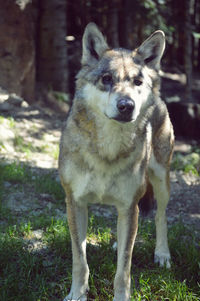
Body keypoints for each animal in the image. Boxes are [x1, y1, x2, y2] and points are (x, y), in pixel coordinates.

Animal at [58, 22, 174, 298]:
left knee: (160, 216)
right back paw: (115, 244)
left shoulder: (128, 205)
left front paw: (122, 297)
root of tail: (161, 99)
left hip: (161, 181)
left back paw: (162, 254)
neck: (107, 150)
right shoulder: (74, 202)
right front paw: (77, 295)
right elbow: (80, 260)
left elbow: (124, 270)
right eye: (107, 79)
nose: (126, 105)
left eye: (137, 81)